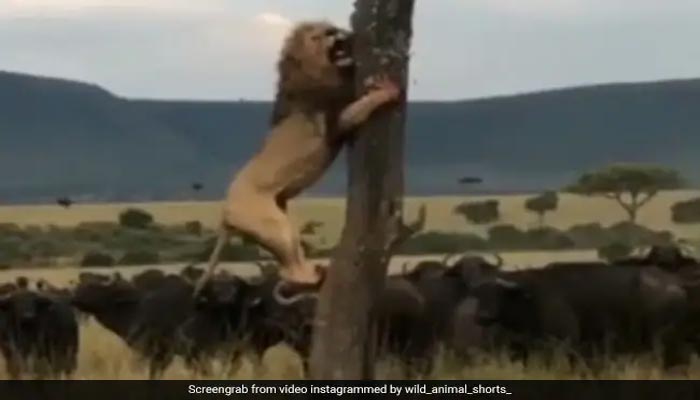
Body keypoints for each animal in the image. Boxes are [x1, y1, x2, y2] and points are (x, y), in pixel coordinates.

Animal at [191, 20, 402, 298]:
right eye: (325, 34)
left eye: (334, 29)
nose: (344, 35)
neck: (316, 70)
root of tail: (225, 214)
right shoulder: (337, 119)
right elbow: (361, 106)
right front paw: (387, 91)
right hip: (271, 223)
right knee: (288, 266)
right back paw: (312, 280)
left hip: (279, 218)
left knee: (288, 260)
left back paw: (315, 274)